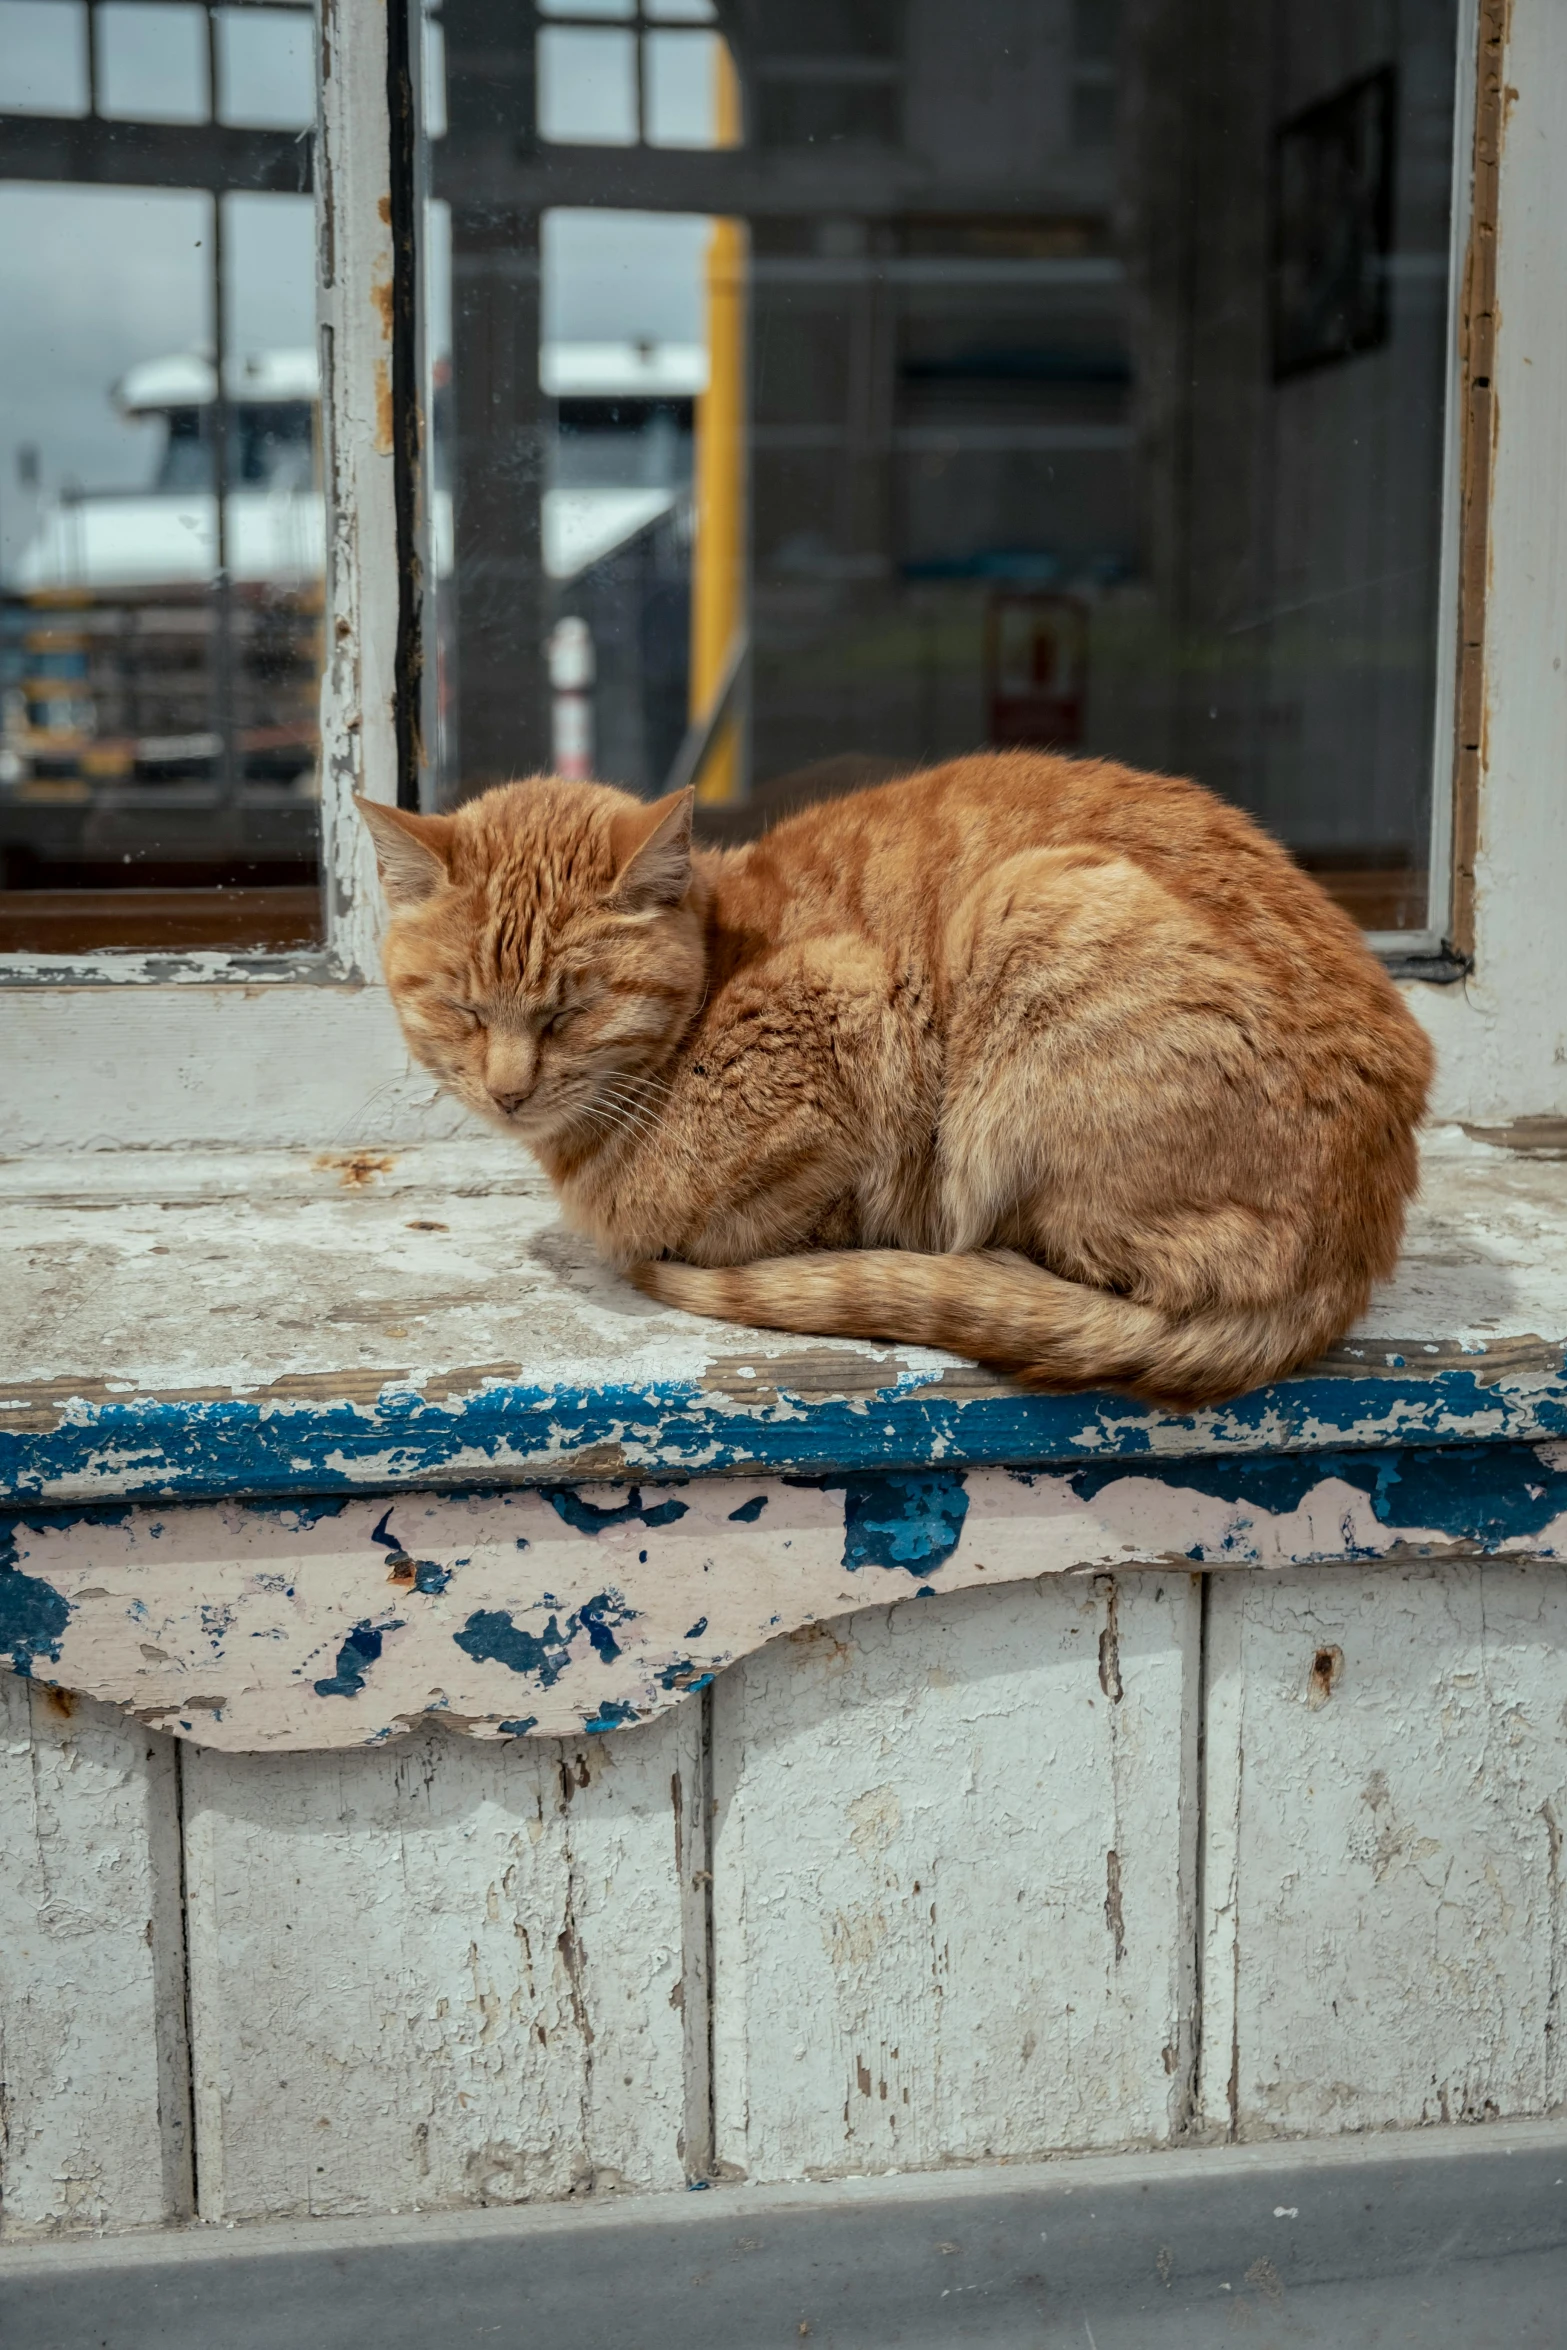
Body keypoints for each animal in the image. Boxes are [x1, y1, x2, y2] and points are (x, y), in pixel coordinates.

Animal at [354, 761, 1437, 1400]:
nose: (507, 1092)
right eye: (460, 1007)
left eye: (567, 1012)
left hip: (1033, 914)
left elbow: (753, 1216)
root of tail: (1355, 1253)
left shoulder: (853, 1019)